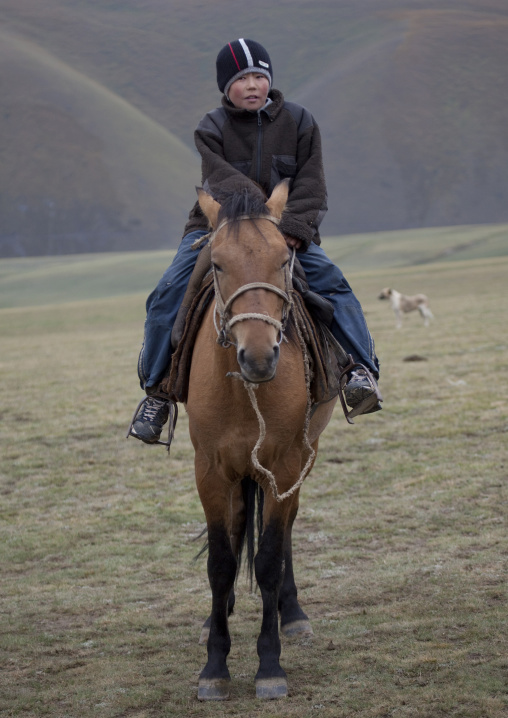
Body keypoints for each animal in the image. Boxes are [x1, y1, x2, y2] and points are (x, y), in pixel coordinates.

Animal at [185, 180, 337, 700]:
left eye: (283, 259)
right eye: (216, 263)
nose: (257, 356)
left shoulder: (284, 465)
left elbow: (269, 557)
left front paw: (269, 665)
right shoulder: (210, 470)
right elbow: (219, 561)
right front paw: (213, 667)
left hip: (301, 459)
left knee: (286, 528)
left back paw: (293, 615)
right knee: (235, 533)